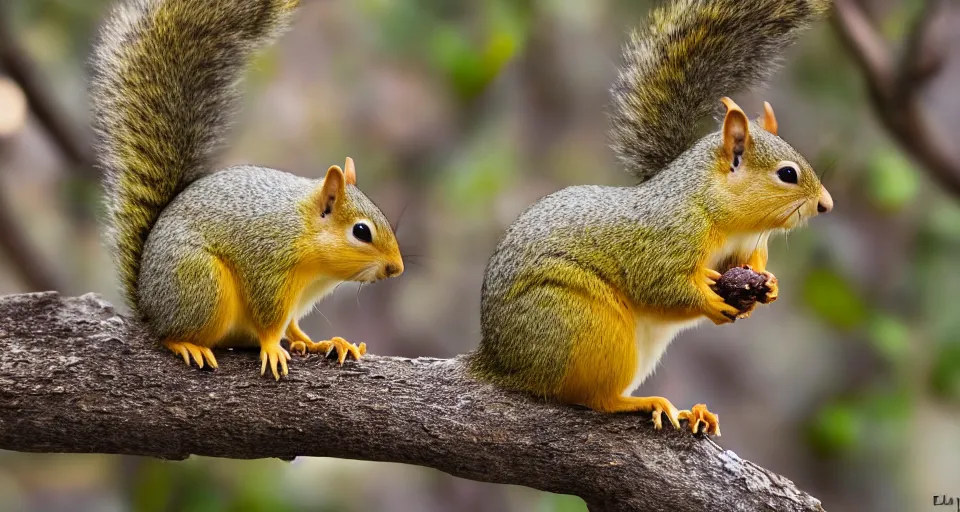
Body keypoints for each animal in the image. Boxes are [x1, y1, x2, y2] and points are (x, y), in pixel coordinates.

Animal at [92, 0, 404, 378]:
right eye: (361, 232)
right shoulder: (267, 266)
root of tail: (148, 305)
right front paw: (271, 347)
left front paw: (325, 343)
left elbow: (293, 325)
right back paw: (186, 344)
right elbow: (270, 321)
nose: (396, 268)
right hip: (201, 284)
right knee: (169, 334)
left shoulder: (300, 297)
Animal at [468, 0, 836, 436]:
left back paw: (690, 412)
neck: (727, 220)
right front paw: (709, 299)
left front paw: (770, 286)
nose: (826, 204)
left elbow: (752, 270)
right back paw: (646, 403)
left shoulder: (748, 249)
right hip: (584, 324)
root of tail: (500, 363)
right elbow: (659, 285)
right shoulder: (666, 236)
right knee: (594, 399)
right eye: (787, 174)